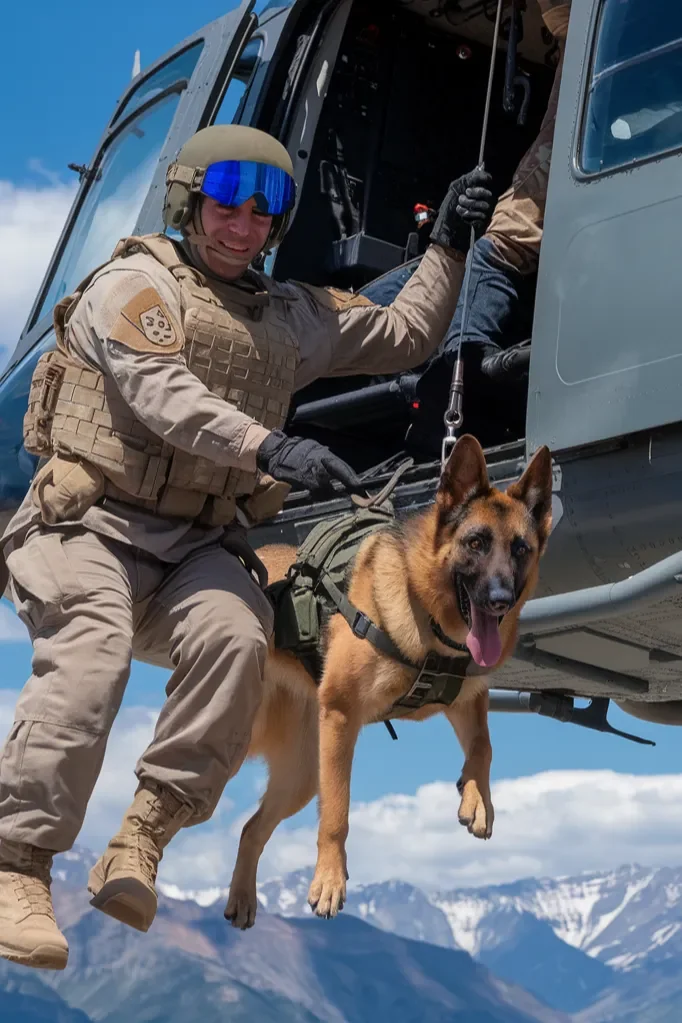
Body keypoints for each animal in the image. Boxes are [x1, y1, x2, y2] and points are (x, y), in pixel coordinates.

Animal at [223, 435, 556, 932]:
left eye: (520, 549)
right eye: (476, 542)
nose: (499, 601)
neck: (431, 614)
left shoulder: (466, 702)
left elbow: (484, 746)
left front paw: (476, 797)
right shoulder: (342, 717)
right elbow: (337, 814)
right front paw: (330, 880)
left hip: (301, 775)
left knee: (249, 829)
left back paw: (242, 897)